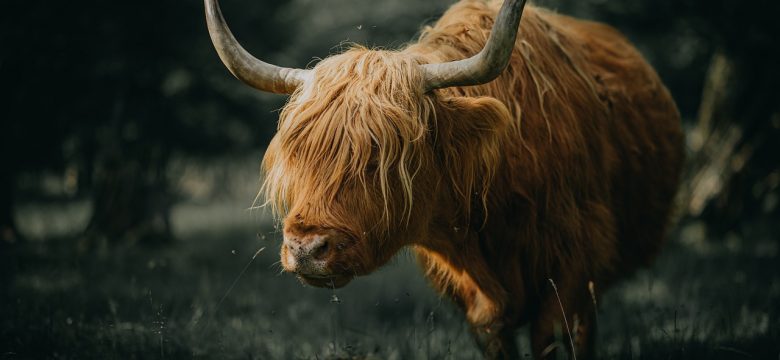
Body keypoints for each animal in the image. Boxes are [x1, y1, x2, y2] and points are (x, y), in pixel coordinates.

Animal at [206, 0, 684, 358]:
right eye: (299, 152)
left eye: (382, 153)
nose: (307, 249)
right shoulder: (475, 301)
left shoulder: (573, 265)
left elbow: (553, 335)